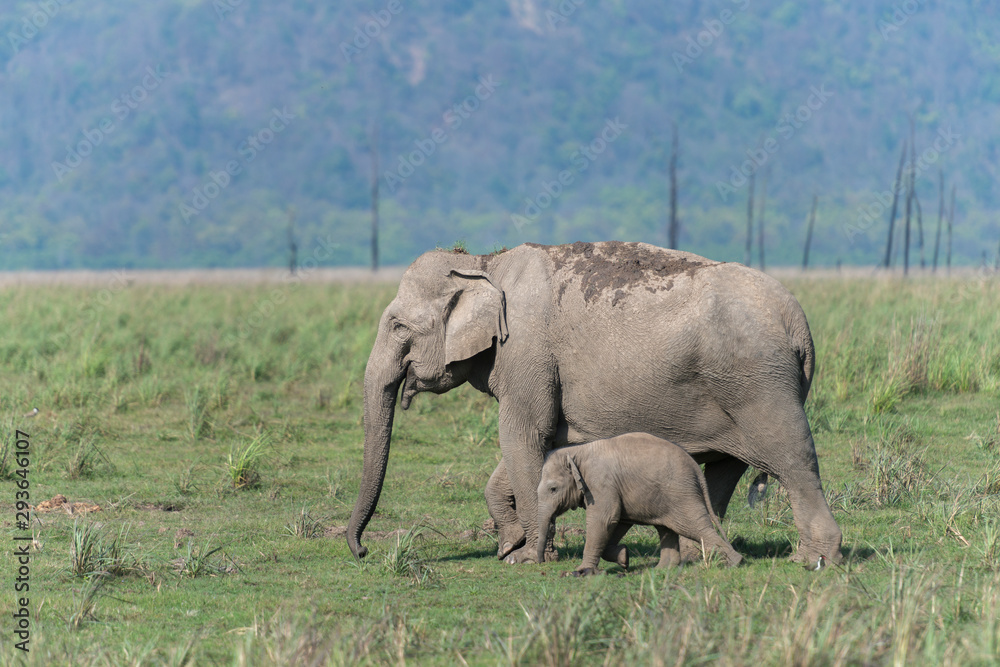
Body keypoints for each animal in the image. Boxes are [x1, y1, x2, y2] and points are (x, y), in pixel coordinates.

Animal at [537, 434, 743, 574]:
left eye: (553, 489)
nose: (541, 562)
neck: (576, 452)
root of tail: (695, 467)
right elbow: (618, 522)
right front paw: (624, 558)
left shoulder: (600, 483)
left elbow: (605, 519)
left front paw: (582, 572)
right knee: (666, 527)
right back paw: (662, 569)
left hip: (680, 493)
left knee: (693, 526)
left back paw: (735, 563)